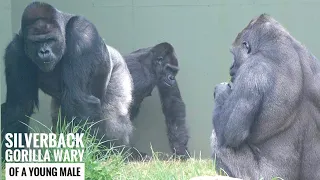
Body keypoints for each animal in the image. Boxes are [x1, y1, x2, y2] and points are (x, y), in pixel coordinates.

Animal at [1, 2, 134, 160]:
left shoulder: (83, 34)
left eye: (50, 40)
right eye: (36, 42)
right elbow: (19, 107)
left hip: (119, 67)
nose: (44, 52)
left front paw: (84, 156)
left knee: (114, 118)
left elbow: (78, 101)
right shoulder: (14, 51)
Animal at [212, 14, 320, 180]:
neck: (278, 45)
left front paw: (221, 92)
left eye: (234, 54)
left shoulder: (251, 69)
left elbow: (230, 135)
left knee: (219, 140)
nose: (231, 67)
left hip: (262, 176)